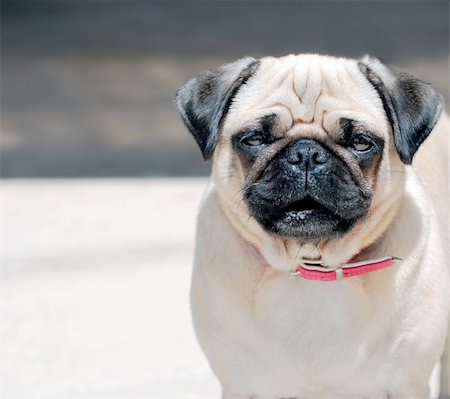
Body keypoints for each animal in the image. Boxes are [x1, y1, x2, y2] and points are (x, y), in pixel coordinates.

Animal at [174, 54, 448, 399]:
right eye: (254, 139)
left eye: (361, 143)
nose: (306, 154)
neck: (310, 265)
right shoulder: (239, 385)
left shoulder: (406, 383)